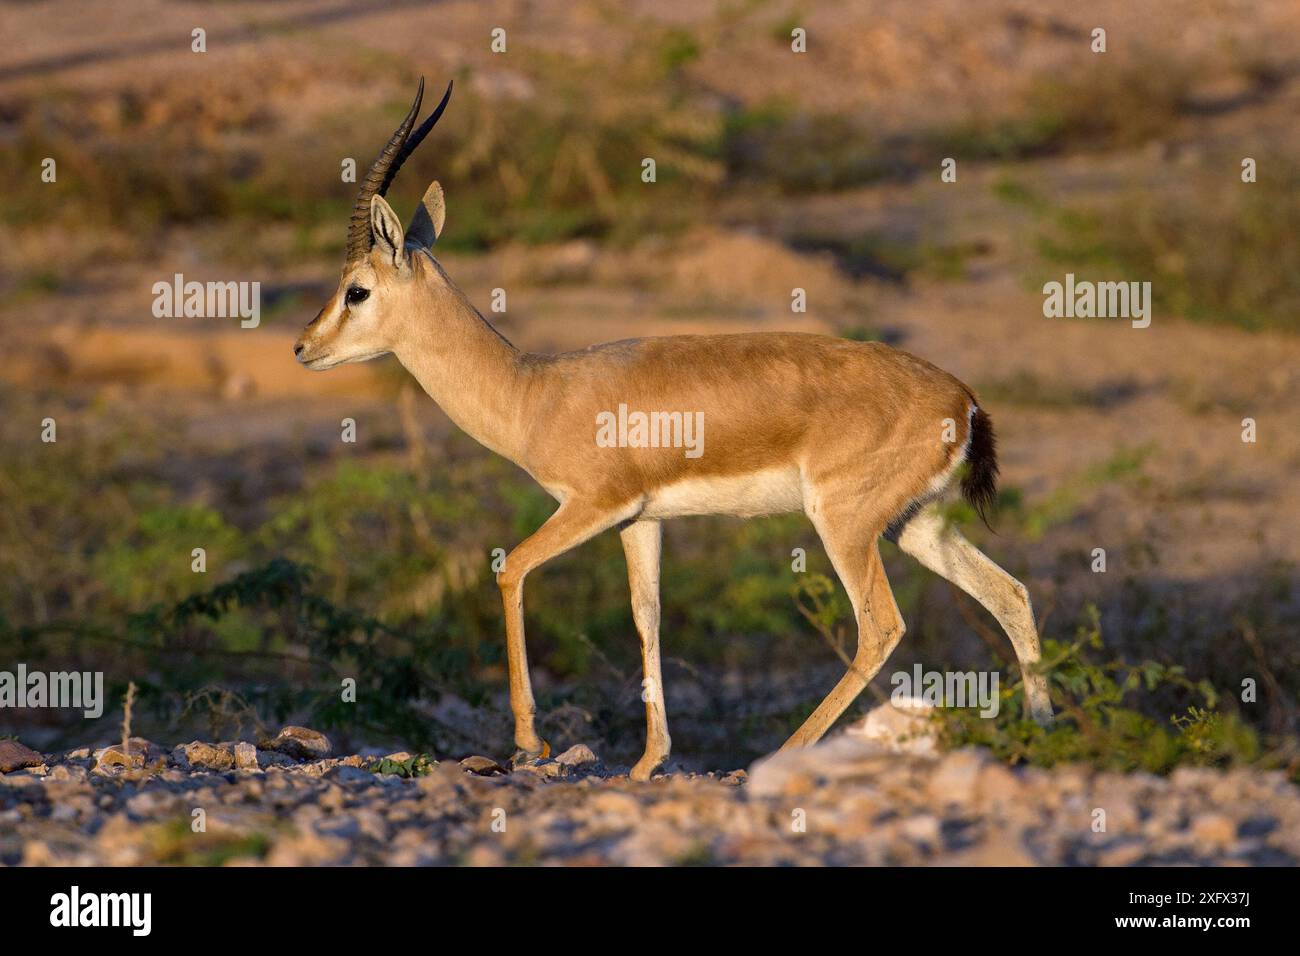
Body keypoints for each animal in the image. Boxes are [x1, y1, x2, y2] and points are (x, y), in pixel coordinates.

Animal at [294, 78, 1054, 780]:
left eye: (357, 290)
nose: (302, 347)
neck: (535, 392)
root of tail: (964, 398)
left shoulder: (592, 506)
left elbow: (511, 569)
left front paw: (530, 741)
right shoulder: (641, 519)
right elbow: (647, 614)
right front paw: (647, 761)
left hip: (844, 524)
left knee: (881, 628)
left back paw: (784, 753)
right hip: (915, 524)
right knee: (1011, 595)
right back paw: (1045, 738)